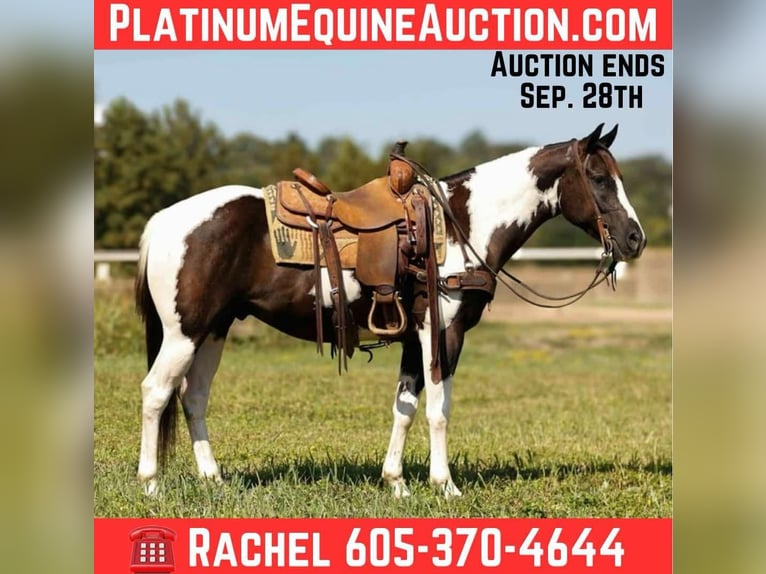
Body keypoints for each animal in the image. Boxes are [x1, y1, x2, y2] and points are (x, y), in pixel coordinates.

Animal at [134, 123, 646, 497]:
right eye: (599, 179)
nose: (635, 238)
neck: (459, 226)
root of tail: (165, 220)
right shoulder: (443, 334)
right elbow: (439, 409)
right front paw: (446, 486)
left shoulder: (413, 338)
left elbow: (405, 407)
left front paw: (396, 482)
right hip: (184, 333)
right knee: (156, 392)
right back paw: (151, 484)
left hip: (213, 330)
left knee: (194, 397)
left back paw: (213, 480)